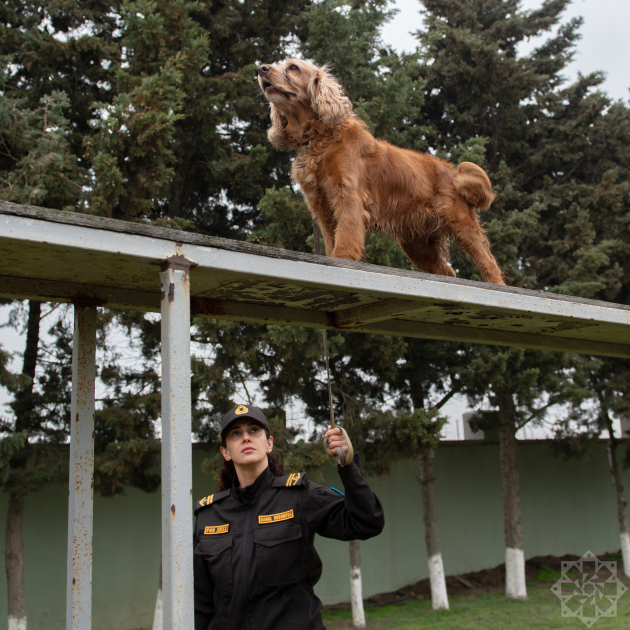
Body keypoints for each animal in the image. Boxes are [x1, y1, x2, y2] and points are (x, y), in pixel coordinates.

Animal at [257, 59, 505, 285]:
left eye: (293, 67)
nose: (261, 68)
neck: (318, 138)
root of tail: (453, 173)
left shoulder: (347, 196)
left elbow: (345, 240)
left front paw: (343, 260)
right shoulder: (321, 206)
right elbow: (331, 243)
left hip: (463, 225)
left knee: (490, 266)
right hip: (417, 243)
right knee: (447, 272)